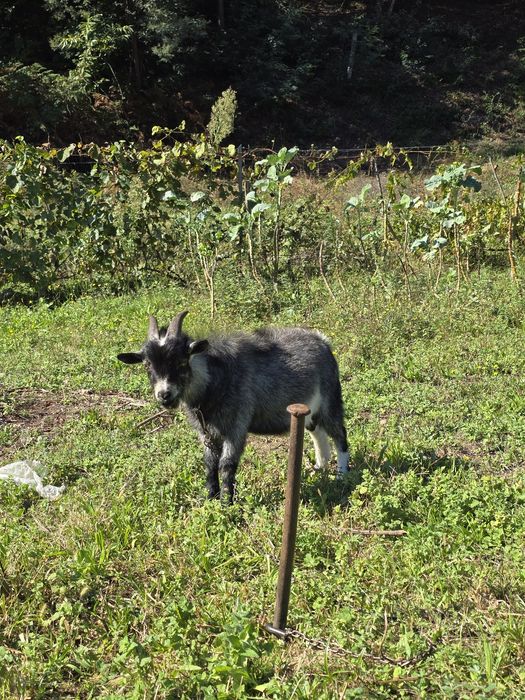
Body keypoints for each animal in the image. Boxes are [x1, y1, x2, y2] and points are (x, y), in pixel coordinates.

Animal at [117, 311, 349, 502]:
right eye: (148, 365)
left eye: (182, 361)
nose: (165, 395)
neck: (213, 382)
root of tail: (323, 341)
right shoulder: (206, 431)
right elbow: (210, 463)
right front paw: (210, 497)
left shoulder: (236, 425)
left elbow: (226, 464)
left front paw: (227, 503)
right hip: (309, 409)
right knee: (317, 431)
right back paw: (320, 466)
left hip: (330, 400)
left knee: (339, 435)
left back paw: (341, 475)